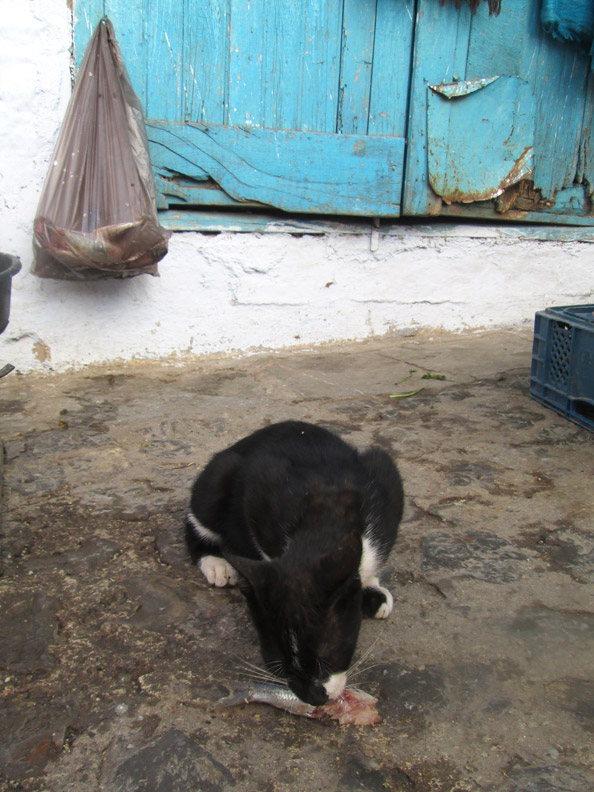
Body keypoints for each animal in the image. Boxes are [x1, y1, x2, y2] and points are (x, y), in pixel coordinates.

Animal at [185, 420, 402, 704]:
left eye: (328, 659)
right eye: (279, 665)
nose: (313, 697)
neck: (323, 523)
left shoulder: (386, 479)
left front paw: (371, 589)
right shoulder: (258, 487)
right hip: (218, 475)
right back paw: (215, 562)